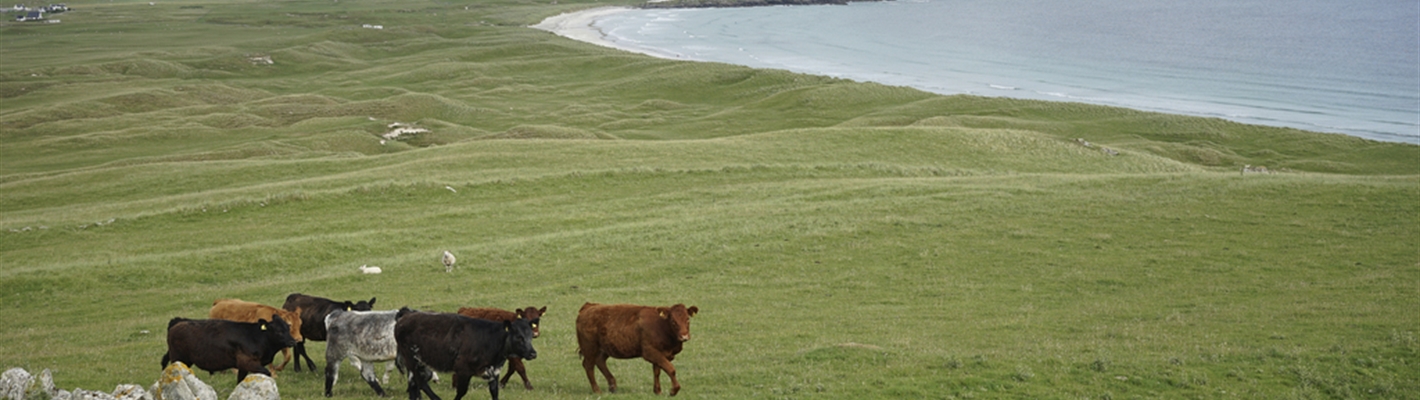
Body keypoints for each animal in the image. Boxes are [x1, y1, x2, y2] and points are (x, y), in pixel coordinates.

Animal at [159, 316, 296, 382]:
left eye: (288, 328)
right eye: (278, 331)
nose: (293, 341)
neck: (256, 337)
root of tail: (178, 322)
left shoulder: (243, 366)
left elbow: (240, 380)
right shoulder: (248, 362)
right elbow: (267, 373)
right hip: (178, 358)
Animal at [394, 309, 536, 400]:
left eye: (530, 336)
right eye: (519, 337)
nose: (533, 353)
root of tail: (406, 315)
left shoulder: (494, 372)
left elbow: (494, 392)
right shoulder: (463, 370)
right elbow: (461, 392)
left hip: (419, 362)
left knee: (414, 384)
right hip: (411, 359)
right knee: (421, 382)